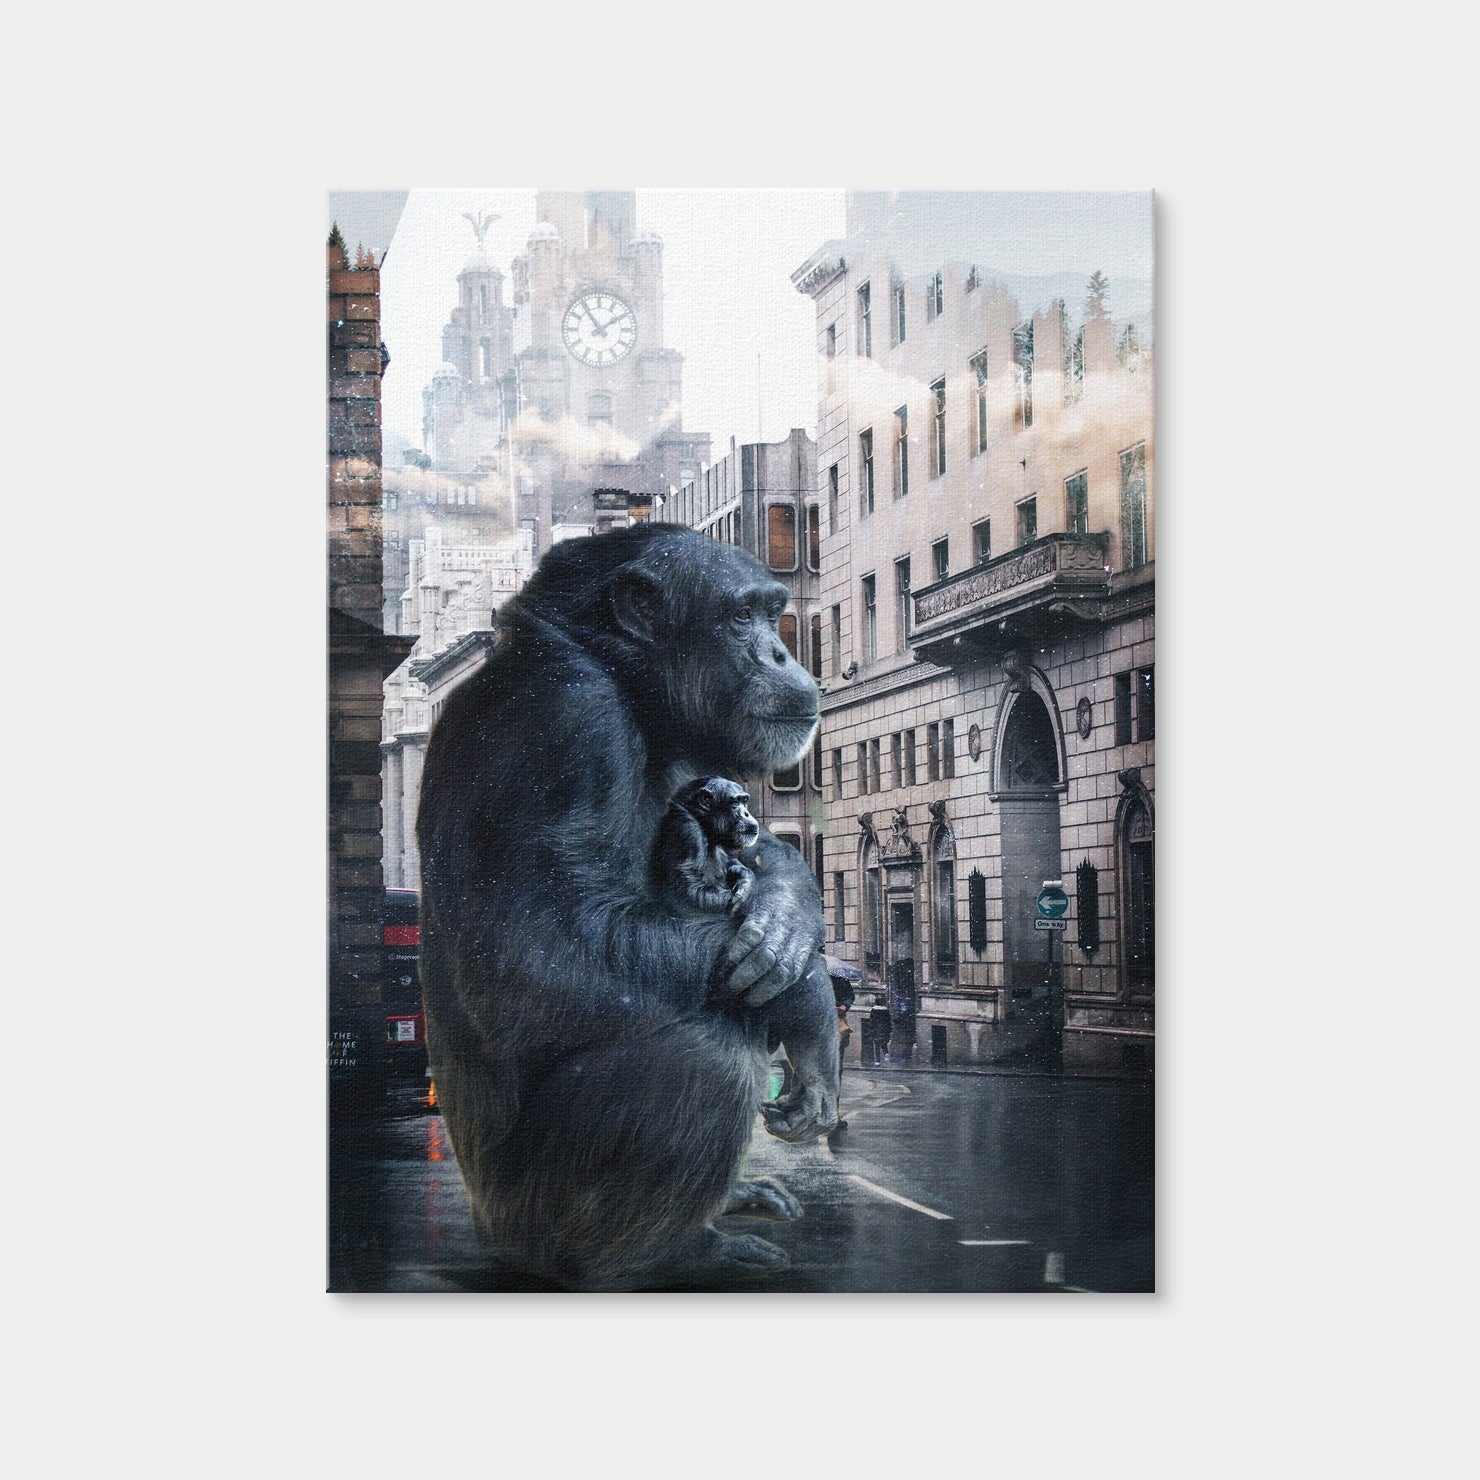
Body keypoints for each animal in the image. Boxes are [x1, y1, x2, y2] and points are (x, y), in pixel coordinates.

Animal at [416, 524, 838, 1288]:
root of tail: (489, 1229)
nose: (780, 651)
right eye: (742, 617)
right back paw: (677, 1254)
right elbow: (536, 953)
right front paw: (814, 1002)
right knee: (705, 1059)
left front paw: (788, 914)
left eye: (773, 613)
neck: (630, 689)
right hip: (530, 1217)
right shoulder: (567, 725)